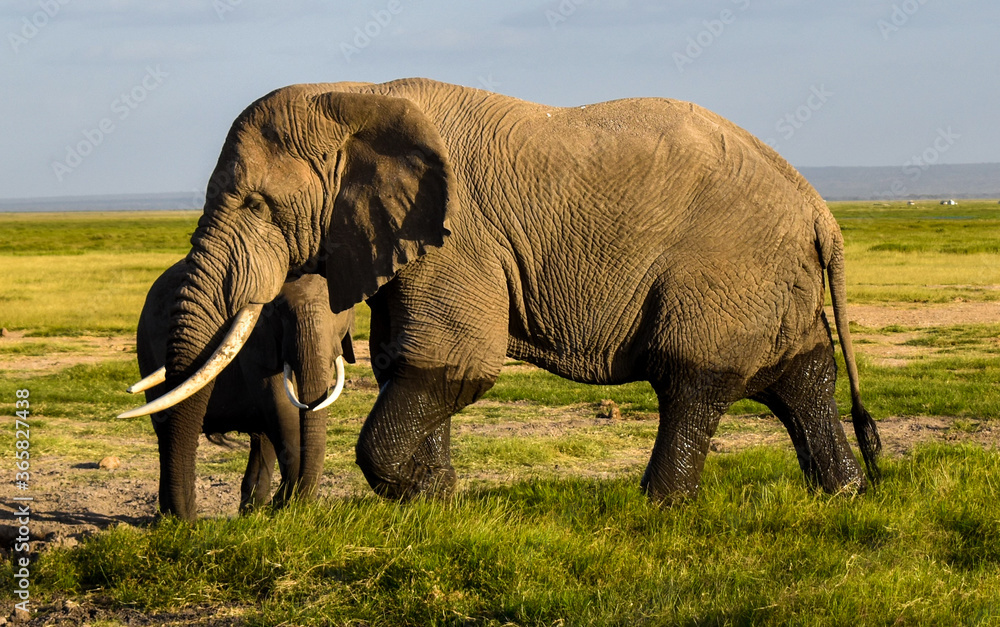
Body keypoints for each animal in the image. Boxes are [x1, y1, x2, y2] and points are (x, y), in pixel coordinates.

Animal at [130, 260, 355, 517]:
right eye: (277, 310)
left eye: (340, 309)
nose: (286, 503)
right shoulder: (256, 339)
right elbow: (282, 409)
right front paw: (284, 505)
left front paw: (272, 508)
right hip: (145, 345)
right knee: (163, 430)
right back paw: (167, 516)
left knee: (262, 438)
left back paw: (251, 509)